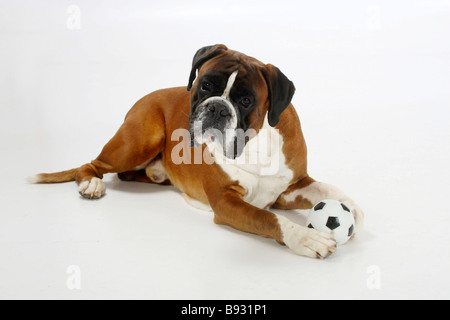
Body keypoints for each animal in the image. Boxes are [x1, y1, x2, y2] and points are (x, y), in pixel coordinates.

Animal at [30, 44, 362, 258]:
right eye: (205, 86)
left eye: (246, 101)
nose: (217, 108)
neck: (254, 145)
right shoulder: (227, 203)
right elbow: (269, 219)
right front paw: (305, 236)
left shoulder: (291, 186)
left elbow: (325, 189)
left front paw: (352, 207)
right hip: (139, 140)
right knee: (91, 164)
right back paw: (91, 184)